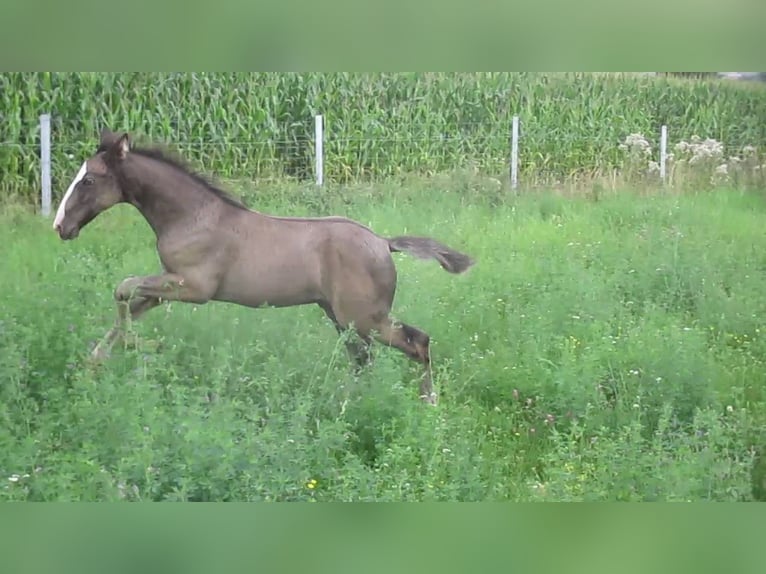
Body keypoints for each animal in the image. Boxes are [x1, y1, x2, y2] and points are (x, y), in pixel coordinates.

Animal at [52, 130, 474, 404]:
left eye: (89, 180)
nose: (60, 226)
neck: (192, 216)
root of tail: (384, 242)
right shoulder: (168, 285)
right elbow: (127, 303)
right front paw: (96, 362)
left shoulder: (194, 288)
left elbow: (123, 287)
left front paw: (143, 346)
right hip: (343, 317)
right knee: (363, 360)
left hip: (364, 317)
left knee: (417, 342)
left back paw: (427, 402)